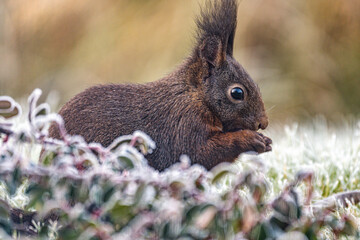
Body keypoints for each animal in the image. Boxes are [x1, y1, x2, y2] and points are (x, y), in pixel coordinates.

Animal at [48, 0, 272, 171]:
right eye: (237, 92)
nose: (263, 123)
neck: (195, 97)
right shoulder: (184, 127)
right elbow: (202, 152)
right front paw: (251, 139)